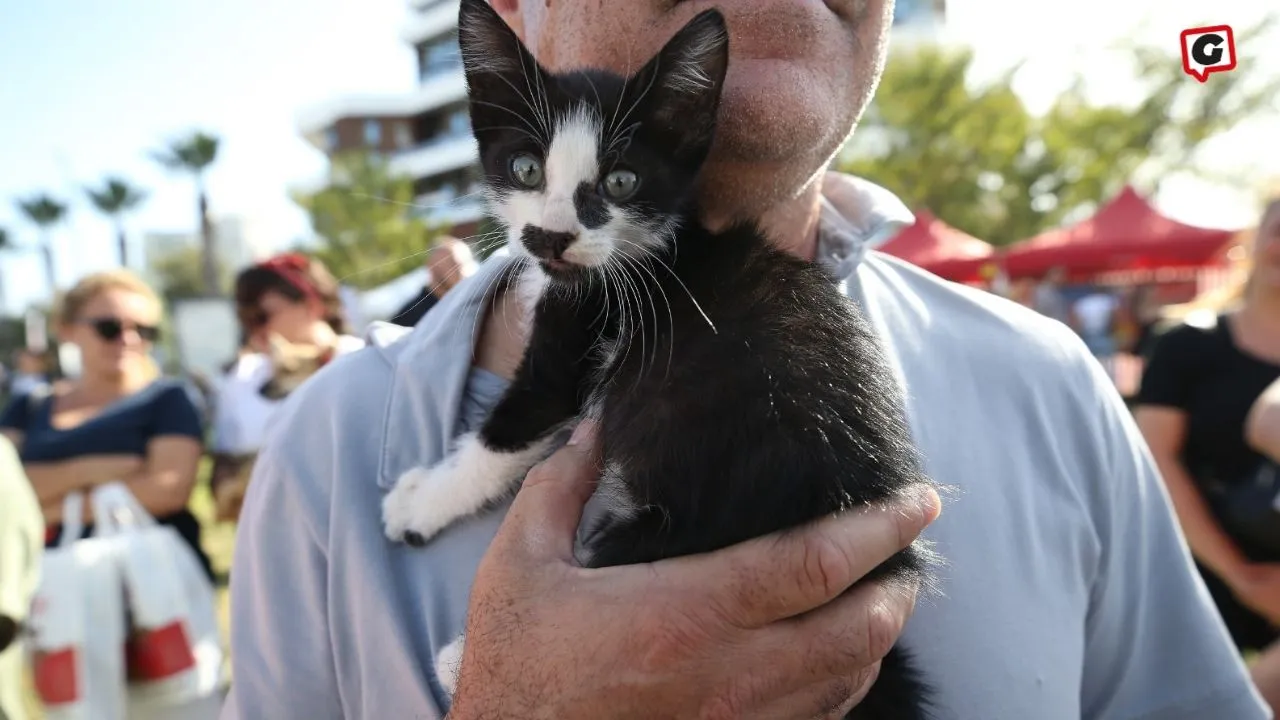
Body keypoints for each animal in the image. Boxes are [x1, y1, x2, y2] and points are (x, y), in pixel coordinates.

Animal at [381, 2, 942, 712]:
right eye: (526, 170)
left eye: (622, 181)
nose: (552, 237)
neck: (645, 252)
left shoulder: (583, 334)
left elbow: (508, 429)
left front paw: (422, 501)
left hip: (710, 502)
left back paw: (458, 659)